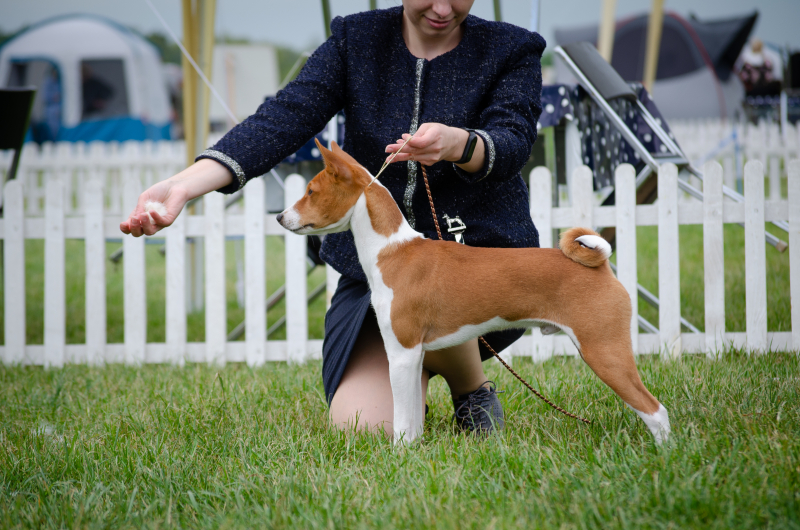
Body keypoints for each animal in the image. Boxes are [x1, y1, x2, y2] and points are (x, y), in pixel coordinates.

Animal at [278, 138, 672, 444]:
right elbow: (414, 422)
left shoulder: (402, 353)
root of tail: (600, 265)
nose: (280, 217)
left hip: (604, 350)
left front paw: (399, 456)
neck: (392, 251)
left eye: (311, 192)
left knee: (655, 410)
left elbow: (403, 422)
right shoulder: (415, 355)